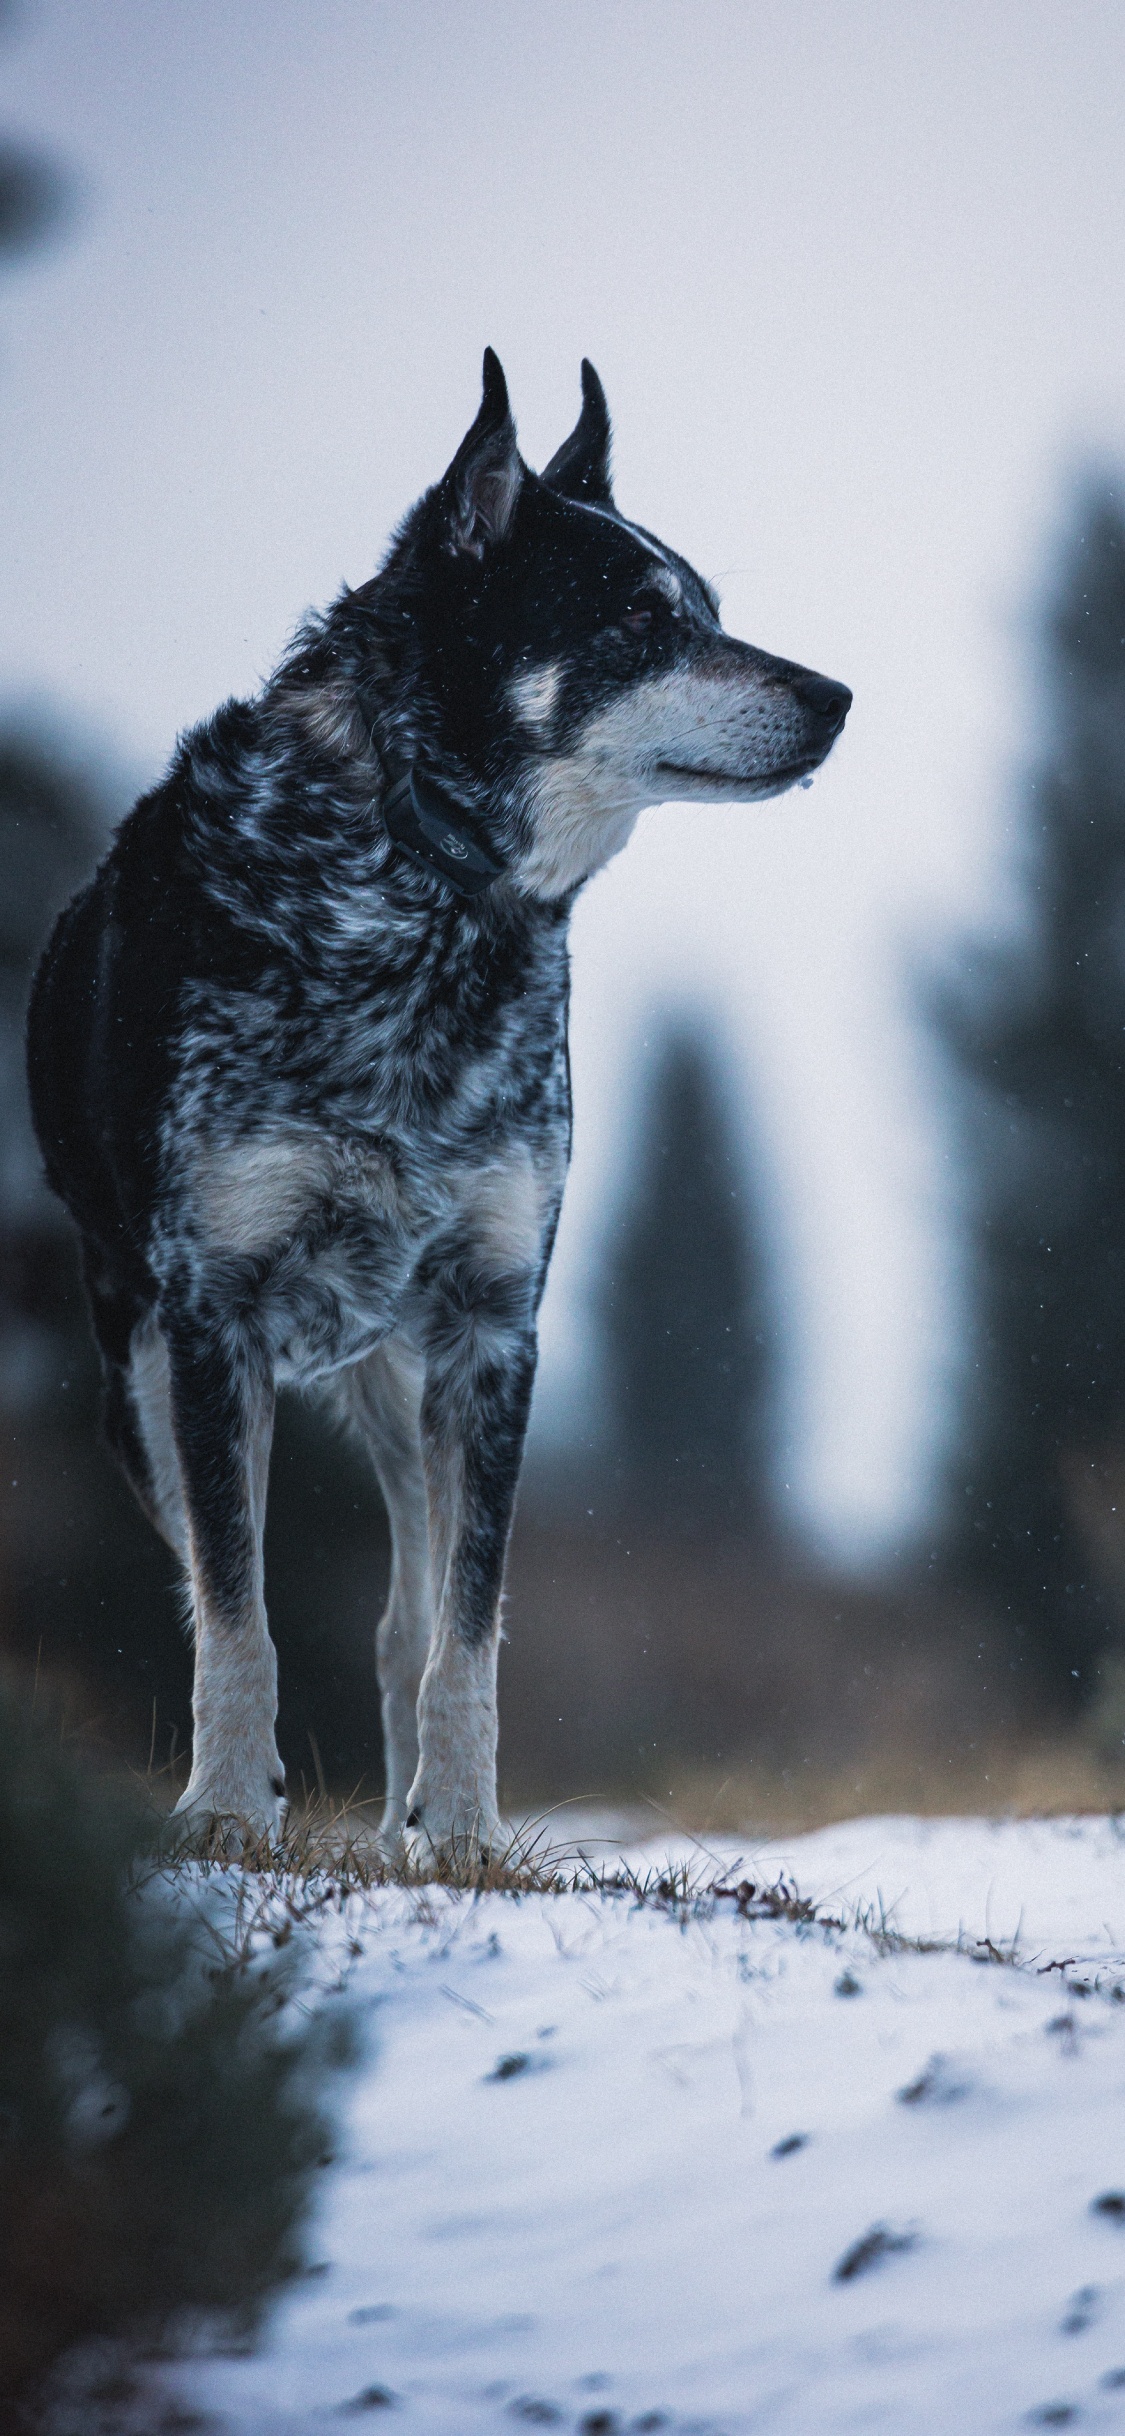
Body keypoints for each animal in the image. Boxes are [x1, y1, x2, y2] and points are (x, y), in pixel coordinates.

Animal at [27, 353, 850, 1859]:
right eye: (638, 618)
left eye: (710, 608)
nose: (836, 695)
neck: (419, 904)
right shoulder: (210, 1320)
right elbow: (235, 1616)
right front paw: (225, 1812)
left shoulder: (490, 1328)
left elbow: (464, 1631)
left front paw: (465, 1834)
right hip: (143, 1373)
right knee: (218, 1582)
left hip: (400, 1382)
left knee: (405, 1618)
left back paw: (409, 1813)